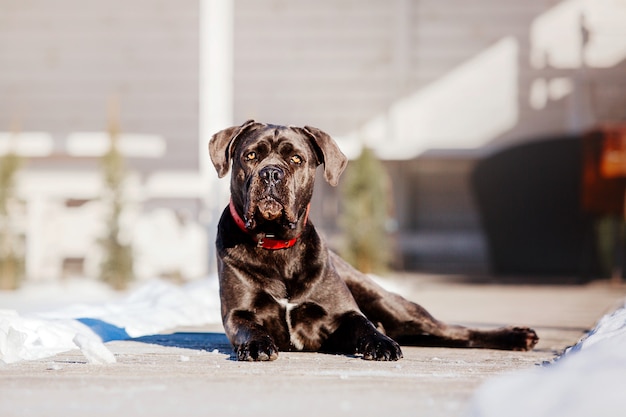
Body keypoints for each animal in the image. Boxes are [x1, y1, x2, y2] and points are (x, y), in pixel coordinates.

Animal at [208, 118, 536, 360]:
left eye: (296, 159)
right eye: (251, 156)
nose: (271, 173)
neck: (277, 243)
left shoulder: (344, 313)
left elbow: (364, 325)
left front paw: (381, 344)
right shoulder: (238, 313)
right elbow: (249, 327)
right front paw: (257, 344)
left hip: (397, 308)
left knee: (457, 331)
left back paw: (516, 336)